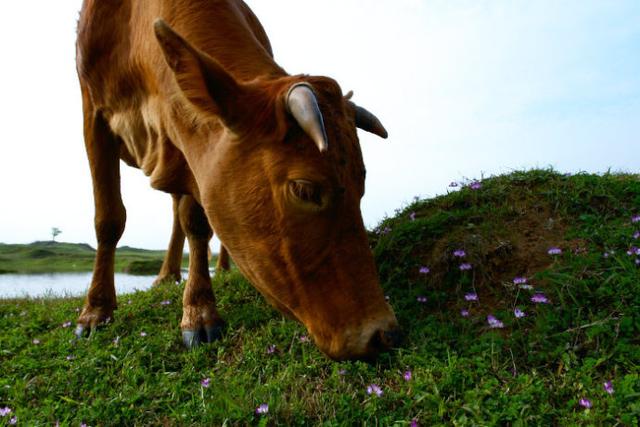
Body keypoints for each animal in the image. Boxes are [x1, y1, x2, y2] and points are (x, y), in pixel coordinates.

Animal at [76, 0, 400, 362]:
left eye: (362, 183)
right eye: (304, 189)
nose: (383, 333)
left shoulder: (189, 140)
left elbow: (196, 222)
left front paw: (199, 311)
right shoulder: (93, 111)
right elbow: (108, 219)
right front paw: (95, 311)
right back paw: (166, 275)